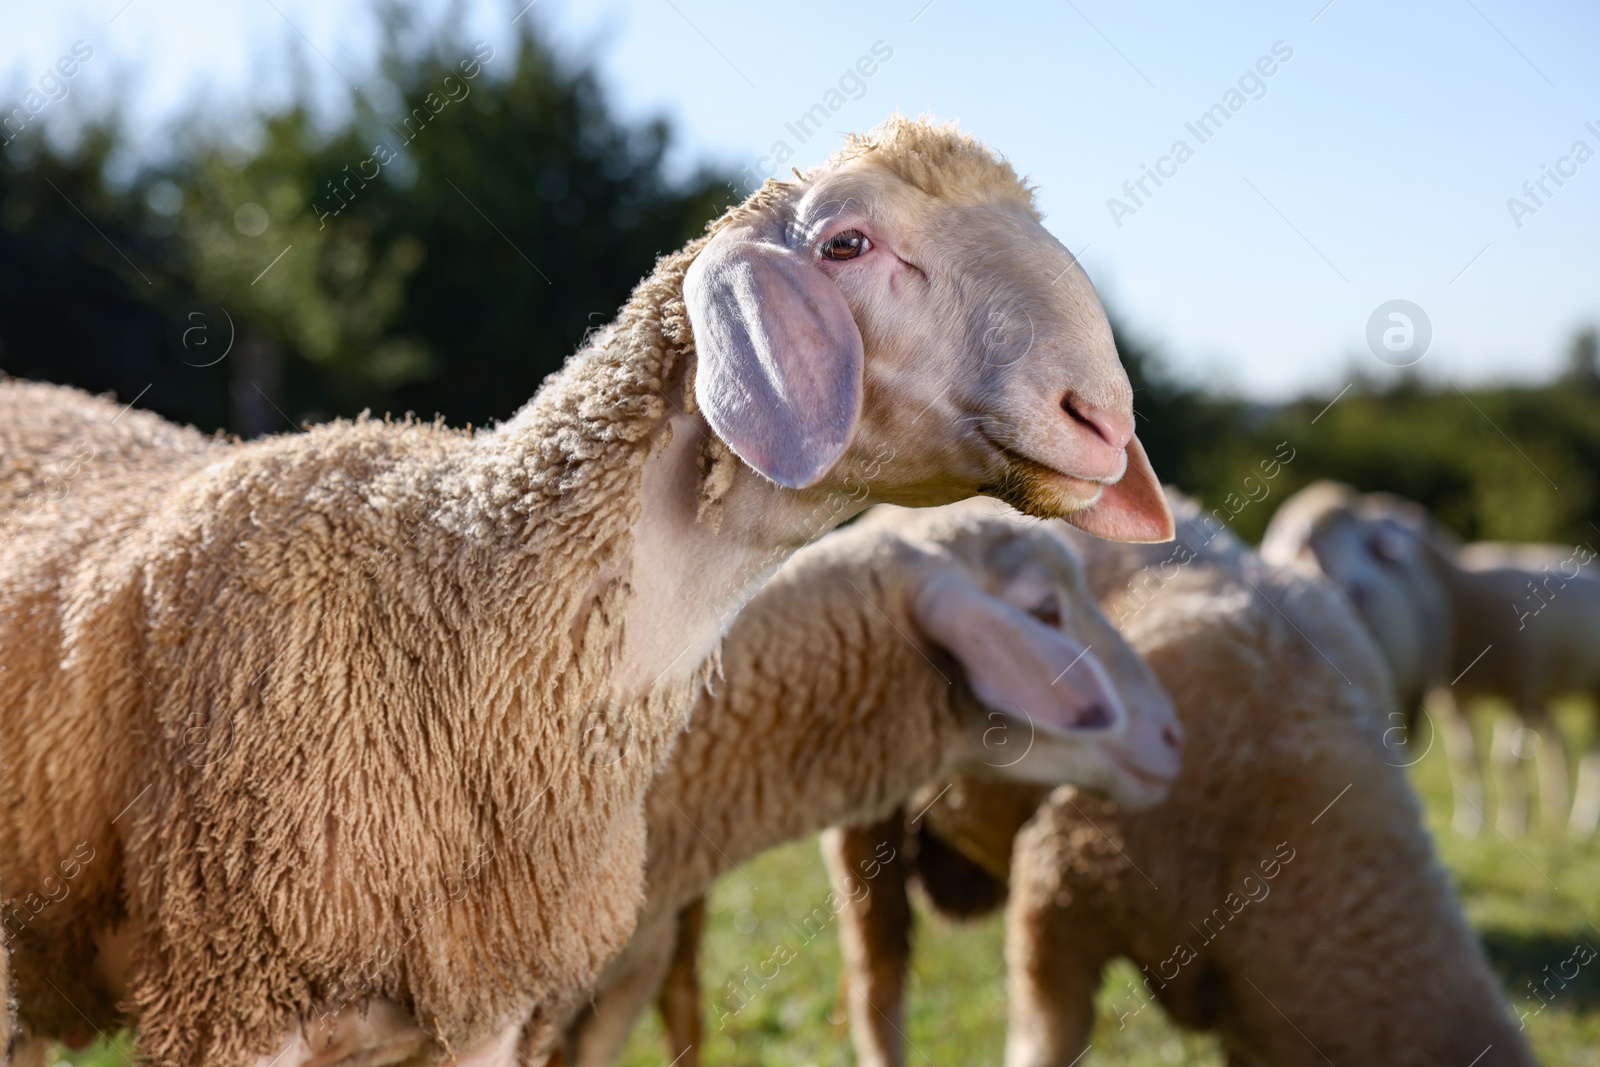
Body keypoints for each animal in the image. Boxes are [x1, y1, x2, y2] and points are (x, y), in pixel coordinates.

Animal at [1260, 479, 1600, 838]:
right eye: (1310, 544)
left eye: (1369, 544)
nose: (1362, 593)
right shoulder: (1457, 698)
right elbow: (1467, 759)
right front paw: (1471, 823)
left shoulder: (1518, 687)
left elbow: (1505, 760)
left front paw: (1513, 823)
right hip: (1540, 696)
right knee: (1557, 744)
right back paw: (1559, 814)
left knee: (1588, 754)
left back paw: (1582, 821)